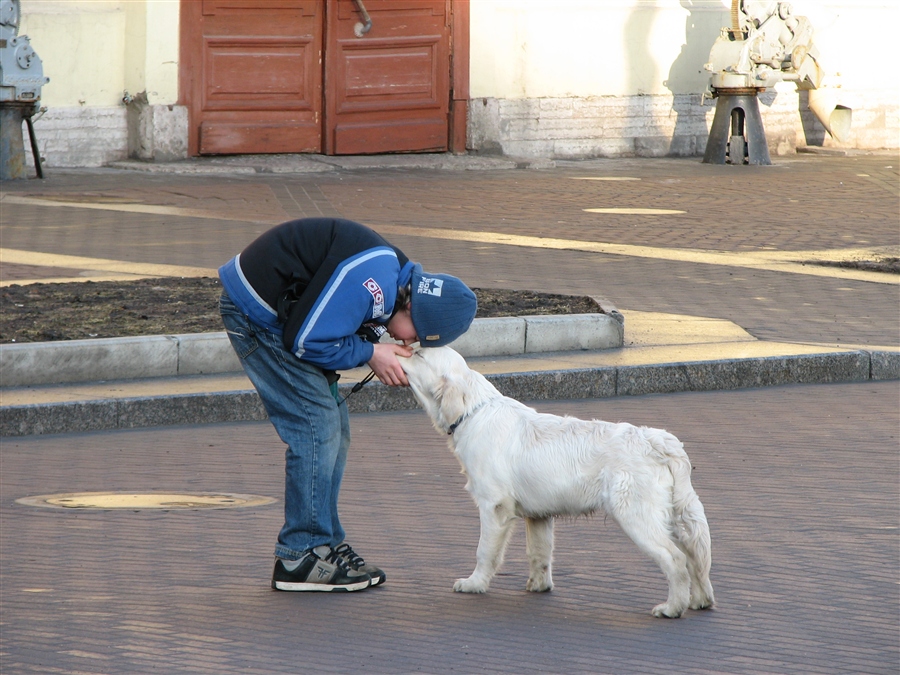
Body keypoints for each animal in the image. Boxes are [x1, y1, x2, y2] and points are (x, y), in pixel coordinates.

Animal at [400, 348, 716, 616]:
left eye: (418, 354)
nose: (398, 350)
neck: (474, 411)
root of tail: (657, 439)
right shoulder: (539, 514)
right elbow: (539, 552)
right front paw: (539, 586)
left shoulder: (494, 507)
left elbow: (485, 551)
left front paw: (474, 583)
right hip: (679, 514)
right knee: (696, 557)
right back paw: (699, 600)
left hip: (636, 515)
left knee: (676, 559)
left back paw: (672, 608)